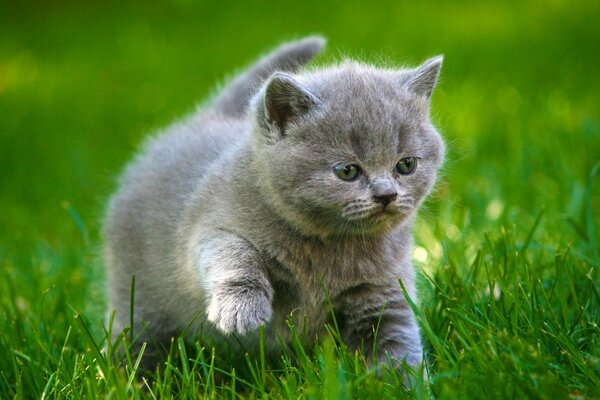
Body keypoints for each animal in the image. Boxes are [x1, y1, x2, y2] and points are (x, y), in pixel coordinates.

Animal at [103, 36, 442, 368]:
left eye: (406, 165)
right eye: (347, 171)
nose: (386, 195)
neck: (332, 248)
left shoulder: (383, 291)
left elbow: (396, 346)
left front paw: (404, 380)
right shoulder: (208, 228)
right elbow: (234, 253)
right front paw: (240, 308)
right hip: (137, 289)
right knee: (138, 331)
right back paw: (133, 371)